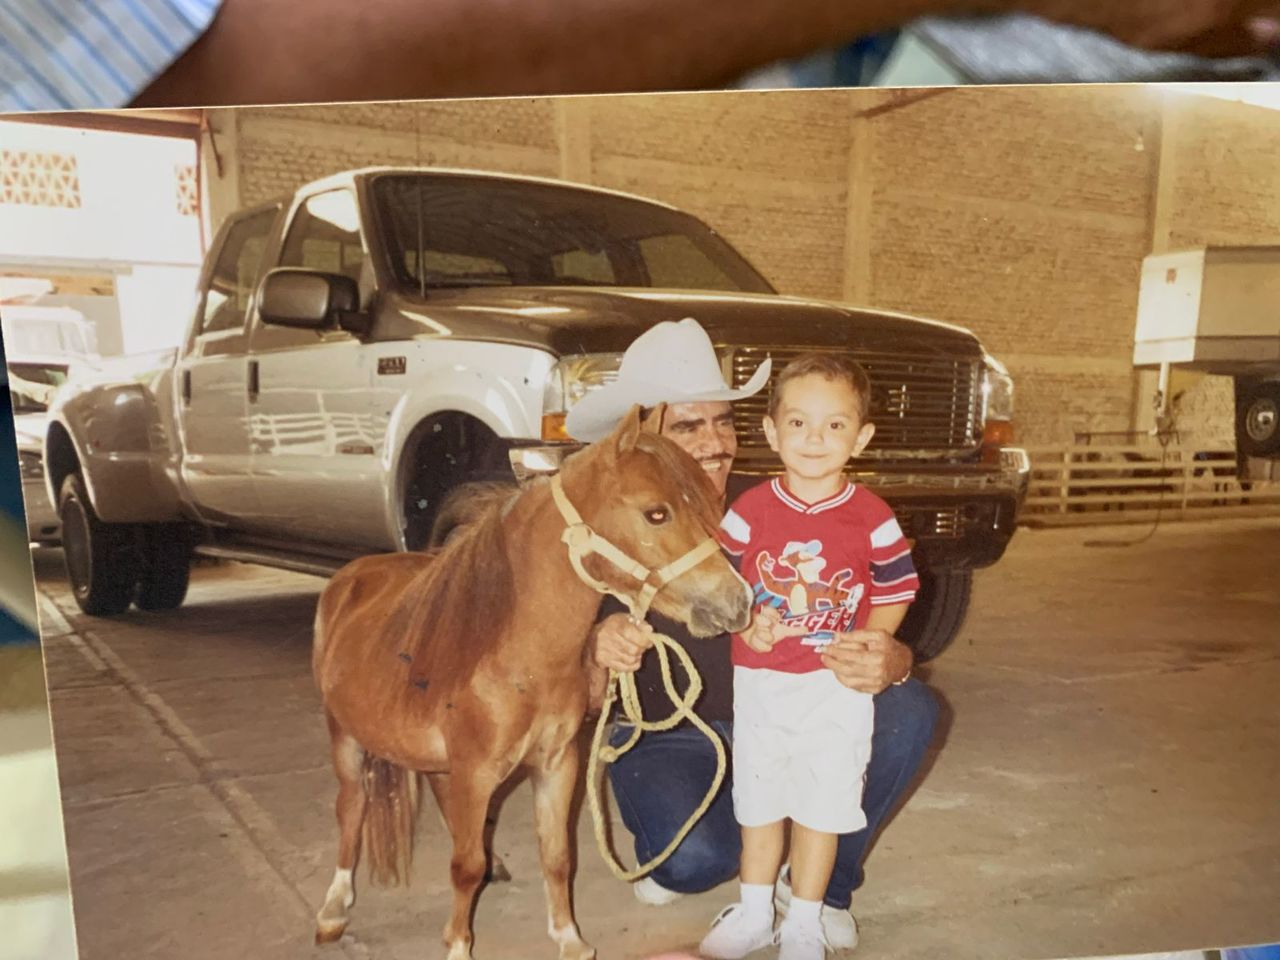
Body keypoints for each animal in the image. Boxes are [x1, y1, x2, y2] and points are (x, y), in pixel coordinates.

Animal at [310, 404, 752, 960]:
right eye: (657, 513)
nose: (737, 602)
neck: (516, 659)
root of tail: (352, 575)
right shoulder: (476, 771)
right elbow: (463, 867)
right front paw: (458, 944)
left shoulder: (557, 764)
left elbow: (557, 855)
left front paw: (568, 937)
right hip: (344, 737)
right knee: (351, 809)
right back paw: (332, 910)